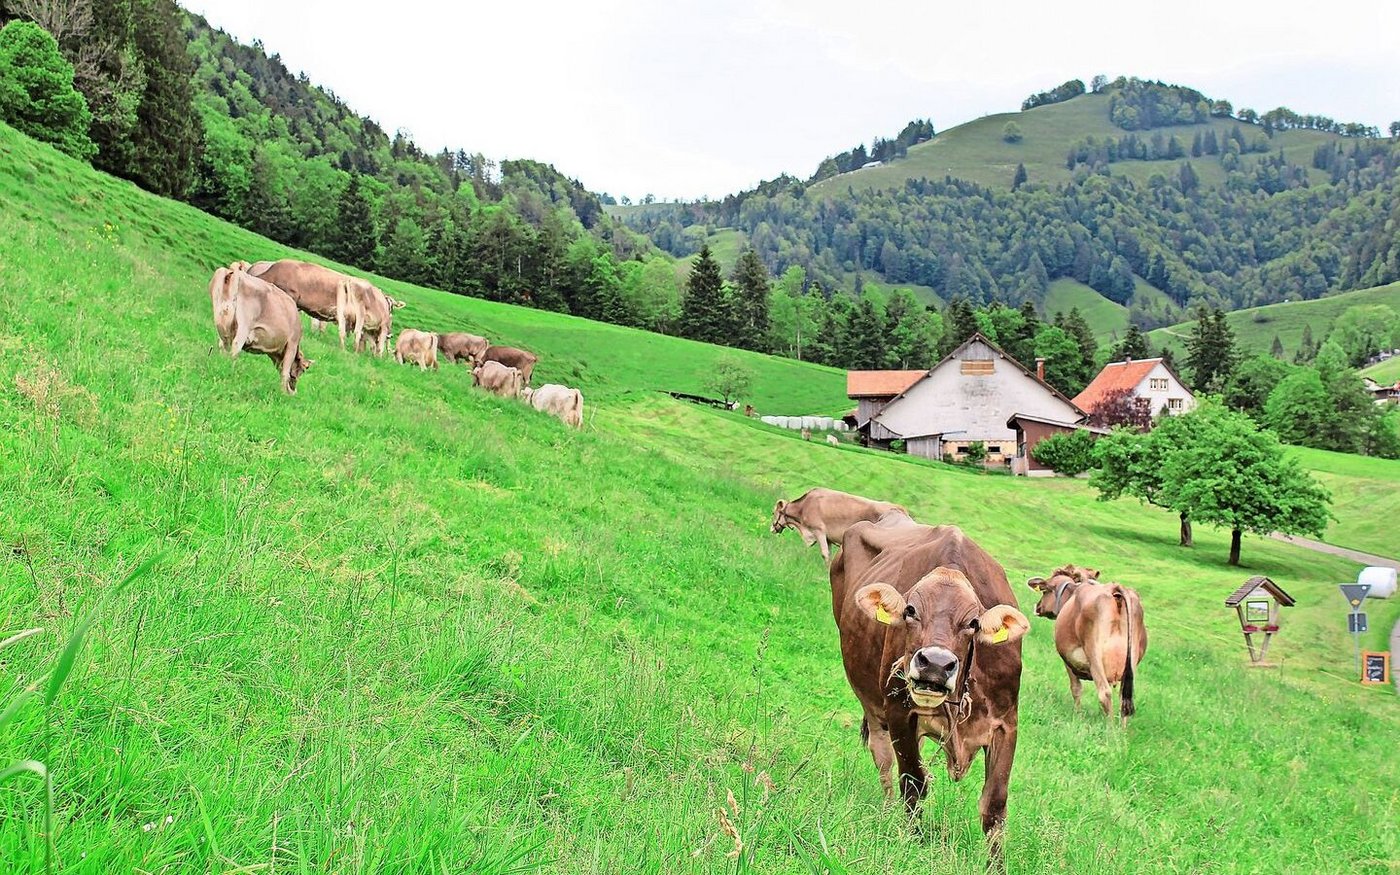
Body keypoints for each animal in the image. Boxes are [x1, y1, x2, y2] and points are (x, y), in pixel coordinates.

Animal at [771, 487, 908, 562]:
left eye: (773, 512)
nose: (772, 529)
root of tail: (899, 508)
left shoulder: (819, 530)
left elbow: (825, 554)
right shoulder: (828, 538)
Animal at [831, 517, 1028, 869]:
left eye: (973, 623)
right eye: (910, 610)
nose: (935, 664)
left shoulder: (1007, 723)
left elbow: (995, 803)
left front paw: (996, 865)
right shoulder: (899, 712)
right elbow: (913, 782)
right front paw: (913, 841)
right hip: (872, 705)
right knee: (883, 760)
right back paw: (887, 811)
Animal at [1027, 566, 1146, 725]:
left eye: (1045, 590)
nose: (1037, 607)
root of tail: (1114, 589)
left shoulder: (1069, 660)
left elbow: (1076, 688)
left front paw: (1077, 715)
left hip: (1094, 653)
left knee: (1104, 693)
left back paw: (1110, 730)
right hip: (1131, 663)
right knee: (1124, 699)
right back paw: (1121, 730)